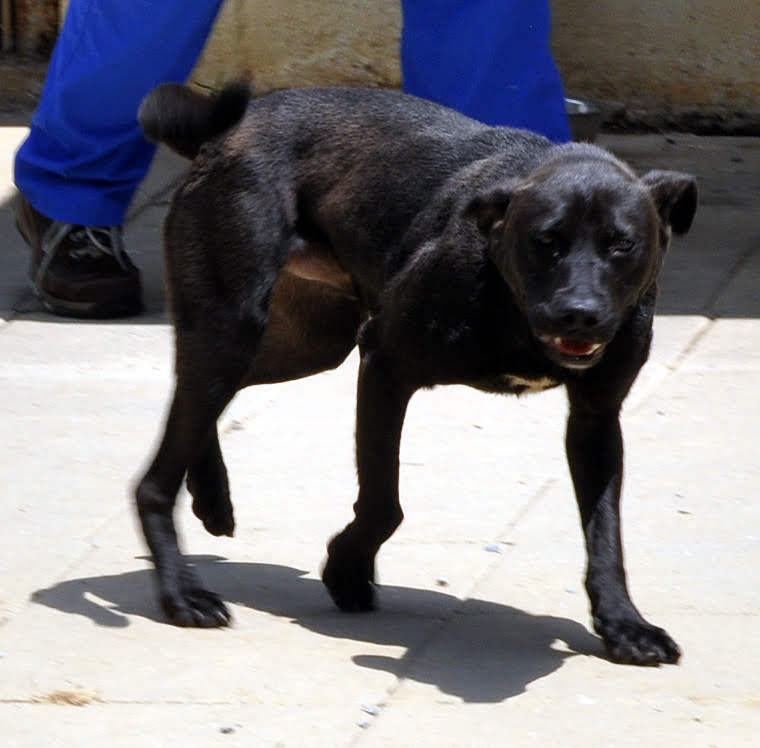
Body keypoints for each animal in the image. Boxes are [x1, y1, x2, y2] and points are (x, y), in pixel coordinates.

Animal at [135, 83, 696, 668]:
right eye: (545, 241)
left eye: (621, 244)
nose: (579, 314)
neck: (504, 287)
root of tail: (222, 133)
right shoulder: (384, 364)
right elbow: (385, 504)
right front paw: (346, 569)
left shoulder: (595, 416)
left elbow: (605, 531)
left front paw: (624, 623)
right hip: (238, 323)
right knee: (156, 476)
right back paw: (181, 593)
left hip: (309, 343)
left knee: (197, 401)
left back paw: (211, 494)